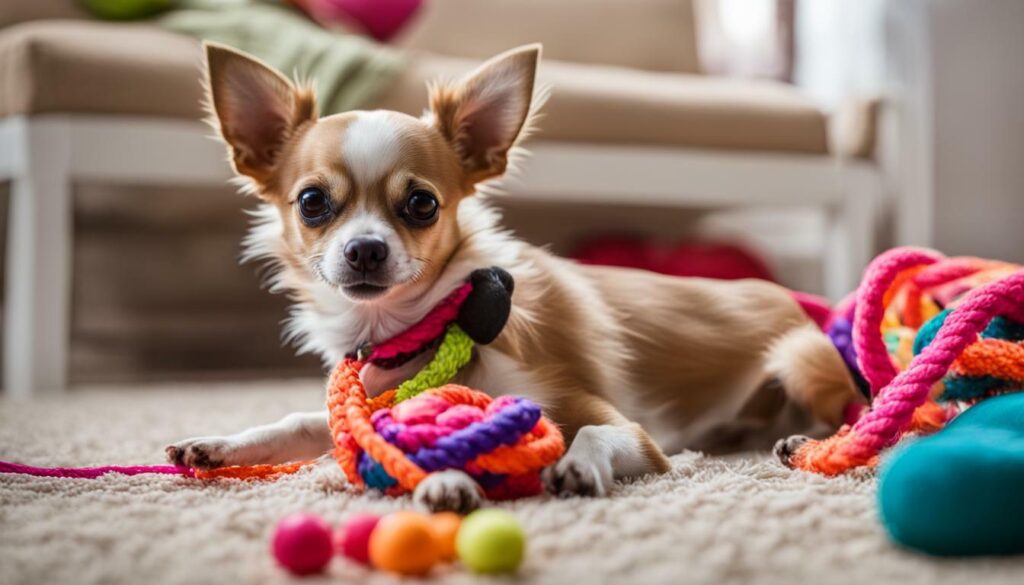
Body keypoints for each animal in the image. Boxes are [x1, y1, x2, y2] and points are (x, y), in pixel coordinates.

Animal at [169, 42, 864, 512]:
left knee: (859, 408)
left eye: (421, 204)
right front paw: (221, 445)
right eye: (313, 202)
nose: (365, 250)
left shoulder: (635, 434)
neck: (419, 333)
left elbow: (592, 428)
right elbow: (299, 423)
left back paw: (806, 442)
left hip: (802, 360)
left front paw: (574, 467)